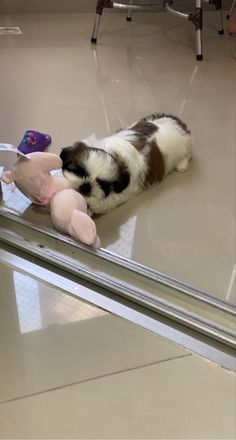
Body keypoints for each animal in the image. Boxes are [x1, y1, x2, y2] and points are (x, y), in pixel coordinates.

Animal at [60, 112, 193, 214]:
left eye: (103, 185)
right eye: (79, 171)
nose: (86, 186)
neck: (112, 154)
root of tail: (180, 124)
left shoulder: (124, 191)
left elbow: (106, 203)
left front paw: (89, 202)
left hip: (185, 147)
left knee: (186, 155)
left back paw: (182, 165)